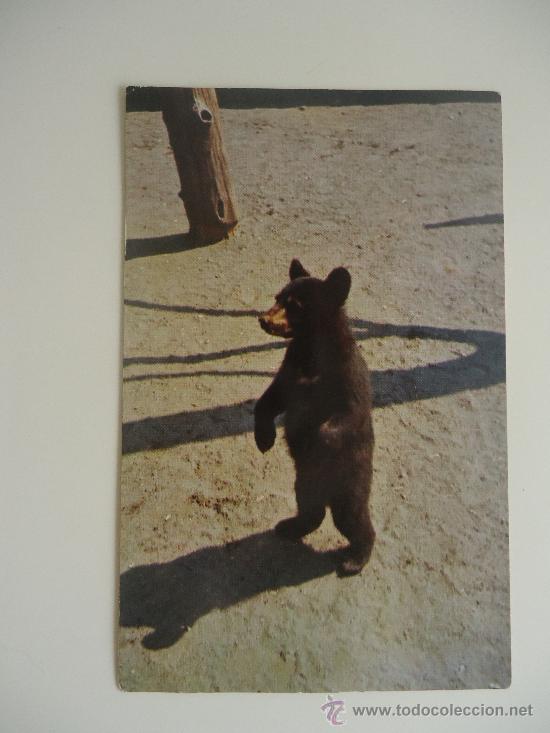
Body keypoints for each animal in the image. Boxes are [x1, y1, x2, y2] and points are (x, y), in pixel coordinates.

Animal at [254, 258, 375, 575]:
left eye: (295, 305)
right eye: (277, 297)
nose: (263, 319)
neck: (311, 348)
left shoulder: (345, 376)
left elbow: (344, 418)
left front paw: (317, 442)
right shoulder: (291, 369)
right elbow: (269, 399)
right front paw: (264, 439)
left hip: (350, 484)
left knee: (354, 520)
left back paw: (354, 559)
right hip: (304, 485)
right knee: (312, 510)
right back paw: (289, 526)